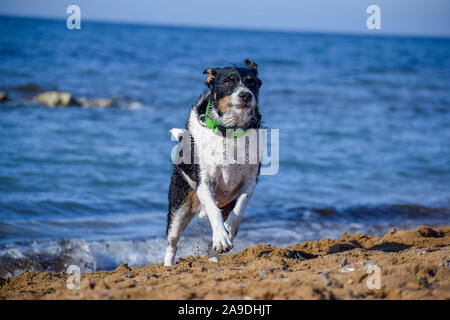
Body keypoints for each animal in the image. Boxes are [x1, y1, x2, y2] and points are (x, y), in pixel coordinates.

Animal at [163, 58, 264, 266]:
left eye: (252, 83)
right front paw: (222, 236)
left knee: (212, 240)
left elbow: (238, 211)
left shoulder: (249, 183)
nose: (245, 95)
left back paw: (215, 256)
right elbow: (213, 211)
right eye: (227, 81)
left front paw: (227, 233)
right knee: (172, 243)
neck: (231, 131)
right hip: (179, 208)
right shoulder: (204, 182)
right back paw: (167, 267)